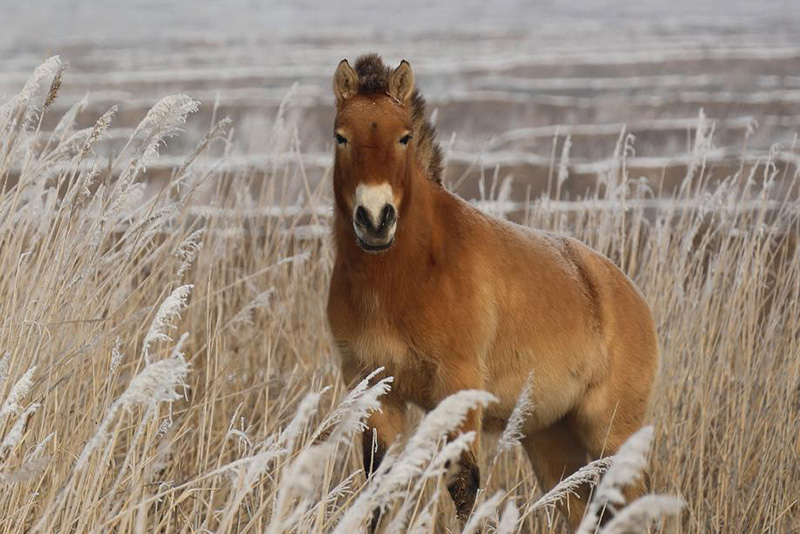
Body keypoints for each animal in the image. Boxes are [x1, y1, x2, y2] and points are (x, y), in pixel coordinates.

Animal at [324, 54, 656, 532]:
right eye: (341, 136)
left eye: (404, 137)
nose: (374, 219)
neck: (408, 274)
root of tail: (629, 294)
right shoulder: (375, 389)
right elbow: (378, 488)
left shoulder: (458, 387)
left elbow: (463, 486)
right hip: (552, 439)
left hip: (611, 435)